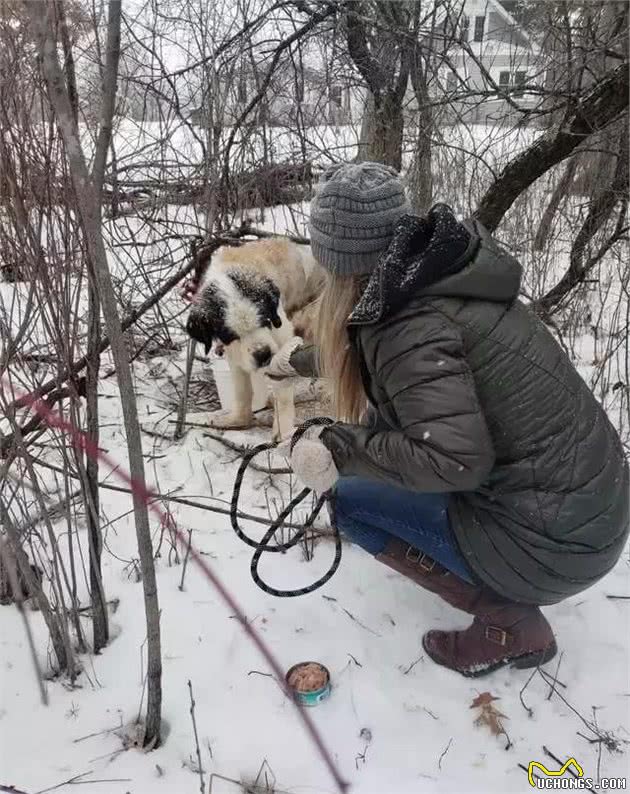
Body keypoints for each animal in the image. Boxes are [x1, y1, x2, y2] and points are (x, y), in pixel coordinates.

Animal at [186, 235, 326, 440]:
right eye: (230, 334)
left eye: (265, 320)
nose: (263, 354)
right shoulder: (234, 352)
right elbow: (242, 390)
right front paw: (238, 419)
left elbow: (282, 392)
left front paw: (283, 432)